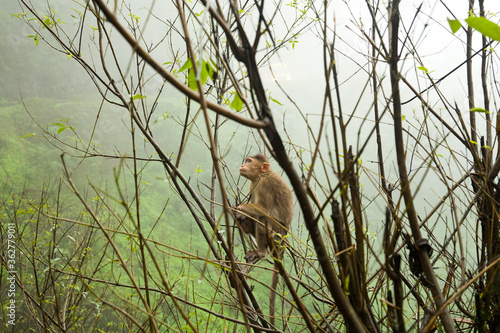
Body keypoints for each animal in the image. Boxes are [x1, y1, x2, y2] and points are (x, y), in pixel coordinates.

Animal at [233, 154, 292, 326]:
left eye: (249, 161)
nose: (242, 165)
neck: (261, 175)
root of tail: (285, 234)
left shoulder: (264, 185)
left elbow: (263, 209)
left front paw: (241, 208)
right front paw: (241, 216)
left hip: (275, 233)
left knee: (262, 220)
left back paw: (260, 252)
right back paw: (245, 225)